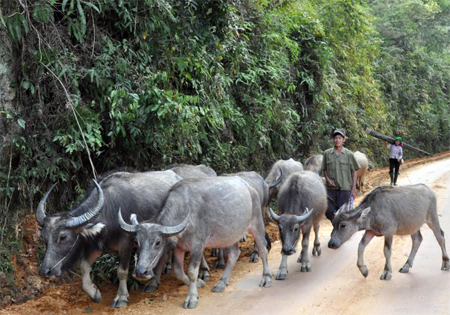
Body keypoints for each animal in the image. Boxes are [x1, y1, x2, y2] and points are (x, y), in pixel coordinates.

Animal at [35, 172, 181, 308]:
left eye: (63, 237)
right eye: (44, 238)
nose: (45, 271)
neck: (109, 211)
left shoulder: (127, 244)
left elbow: (121, 271)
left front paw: (121, 297)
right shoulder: (97, 246)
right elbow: (84, 267)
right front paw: (94, 293)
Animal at [118, 177, 270, 310]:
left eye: (158, 242)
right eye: (137, 241)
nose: (140, 272)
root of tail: (250, 188)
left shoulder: (198, 246)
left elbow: (192, 271)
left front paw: (191, 298)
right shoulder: (179, 248)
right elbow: (179, 272)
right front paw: (199, 283)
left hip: (257, 223)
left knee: (262, 249)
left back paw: (266, 278)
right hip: (228, 235)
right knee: (234, 254)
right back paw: (221, 283)